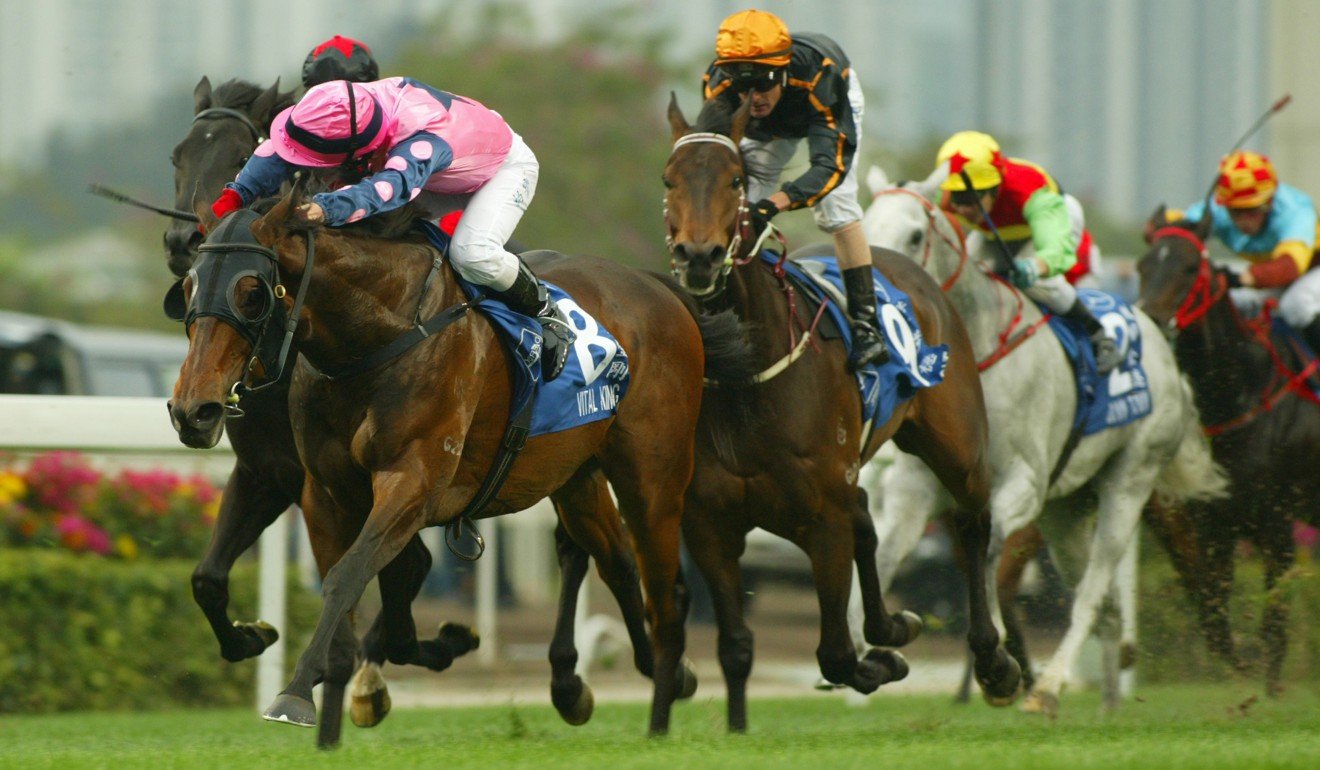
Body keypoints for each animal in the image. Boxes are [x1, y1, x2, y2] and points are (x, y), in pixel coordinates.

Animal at [167, 179, 733, 734]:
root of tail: (656, 287)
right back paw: (621, 680)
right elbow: (326, 587)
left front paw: (296, 694)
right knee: (616, 561)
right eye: (189, 288)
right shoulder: (323, 491)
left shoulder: (411, 482)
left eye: (251, 293)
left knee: (663, 588)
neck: (378, 337)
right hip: (576, 478)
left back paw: (661, 700)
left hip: (653, 479)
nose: (192, 410)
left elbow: (348, 577)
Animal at [660, 96, 1019, 729]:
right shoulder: (710, 526)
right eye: (669, 179)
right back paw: (892, 626)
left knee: (972, 525)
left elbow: (833, 652)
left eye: (736, 181)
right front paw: (736, 726)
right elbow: (736, 648)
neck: (750, 380)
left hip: (957, 446)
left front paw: (880, 662)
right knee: (869, 520)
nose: (698, 256)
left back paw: (992, 660)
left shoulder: (821, 520)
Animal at [855, 167, 1224, 718]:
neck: (979, 350)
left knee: (1093, 592)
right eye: (864, 225)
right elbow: (886, 557)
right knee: (1107, 609)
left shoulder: (1023, 484)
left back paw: (1048, 687)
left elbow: (986, 554)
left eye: (915, 235)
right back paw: (1108, 709)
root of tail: (1161, 344)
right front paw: (868, 655)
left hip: (1128, 485)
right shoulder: (914, 490)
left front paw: (997, 666)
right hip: (1066, 509)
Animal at [1135, 213, 1320, 697]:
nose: (1152, 319)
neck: (1241, 393)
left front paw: (1270, 691)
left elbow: (1275, 619)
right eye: (1143, 264)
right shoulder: (1215, 522)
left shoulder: (1277, 519)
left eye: (1188, 268)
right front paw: (1246, 665)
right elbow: (1213, 615)